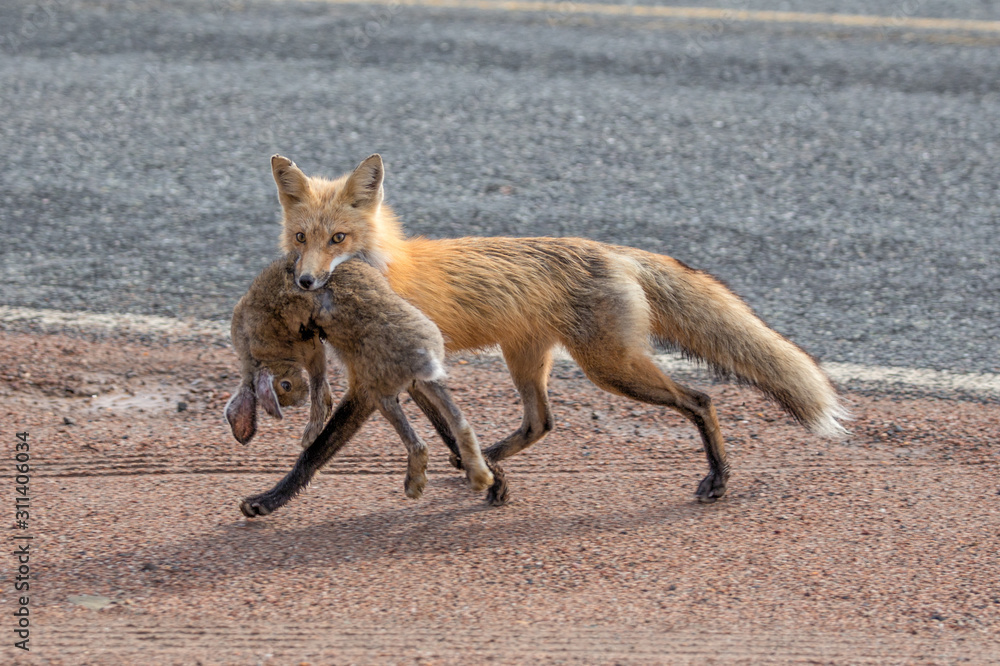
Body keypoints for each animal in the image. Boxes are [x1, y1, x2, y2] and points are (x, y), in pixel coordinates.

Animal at [225, 252, 494, 516]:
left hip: (376, 389)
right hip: (408, 383)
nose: (298, 399)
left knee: (416, 440)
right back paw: (480, 476)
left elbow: (318, 405)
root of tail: (422, 359)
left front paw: (312, 427)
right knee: (457, 424)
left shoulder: (306, 346)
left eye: (286, 386)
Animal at [270, 152, 848, 504]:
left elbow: (318, 450)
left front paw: (269, 500)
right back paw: (488, 463)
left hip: (612, 369)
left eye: (339, 238)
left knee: (700, 400)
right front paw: (485, 476)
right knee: (540, 422)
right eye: (300, 238)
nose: (305, 280)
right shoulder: (411, 374)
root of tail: (612, 250)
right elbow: (448, 430)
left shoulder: (381, 377)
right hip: (529, 359)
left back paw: (719, 479)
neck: (385, 270)